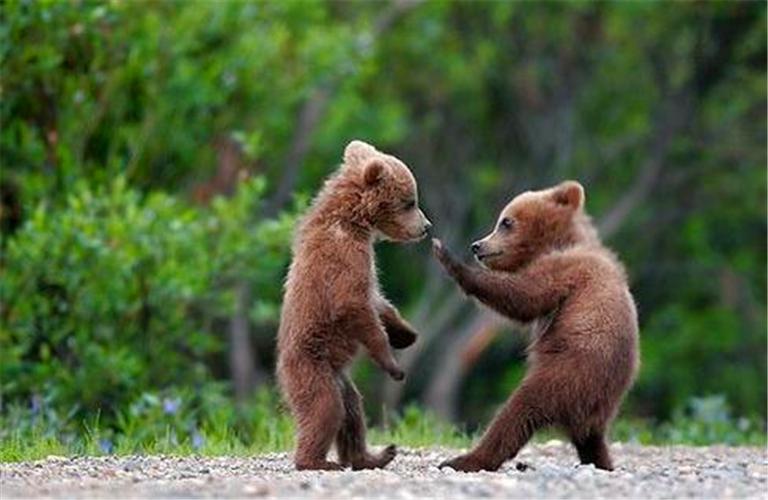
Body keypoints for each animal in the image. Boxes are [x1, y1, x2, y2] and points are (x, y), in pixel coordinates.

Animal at [276, 140, 431, 471]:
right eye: (410, 202)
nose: (426, 226)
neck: (355, 221)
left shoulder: (365, 262)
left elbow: (377, 300)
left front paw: (406, 333)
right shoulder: (344, 256)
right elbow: (353, 304)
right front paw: (393, 365)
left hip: (341, 379)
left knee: (352, 413)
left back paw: (373, 455)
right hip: (312, 367)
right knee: (325, 409)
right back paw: (317, 461)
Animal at [432, 180, 639, 472]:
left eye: (505, 221)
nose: (477, 245)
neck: (558, 242)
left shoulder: (565, 270)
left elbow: (524, 296)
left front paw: (447, 256)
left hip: (568, 373)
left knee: (518, 410)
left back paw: (465, 459)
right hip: (596, 401)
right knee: (590, 439)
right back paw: (601, 461)